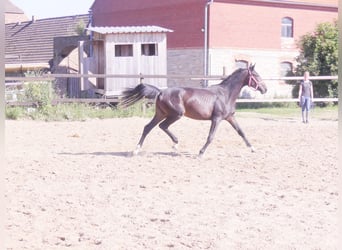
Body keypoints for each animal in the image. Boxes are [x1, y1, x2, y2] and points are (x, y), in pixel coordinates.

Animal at [120, 63, 268, 155]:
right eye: (256, 76)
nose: (265, 89)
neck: (226, 94)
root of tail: (161, 92)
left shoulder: (230, 117)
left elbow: (241, 132)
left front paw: (253, 149)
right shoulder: (217, 118)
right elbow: (210, 136)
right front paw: (201, 153)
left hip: (161, 114)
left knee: (148, 127)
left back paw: (137, 150)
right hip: (176, 114)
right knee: (162, 126)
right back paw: (174, 144)